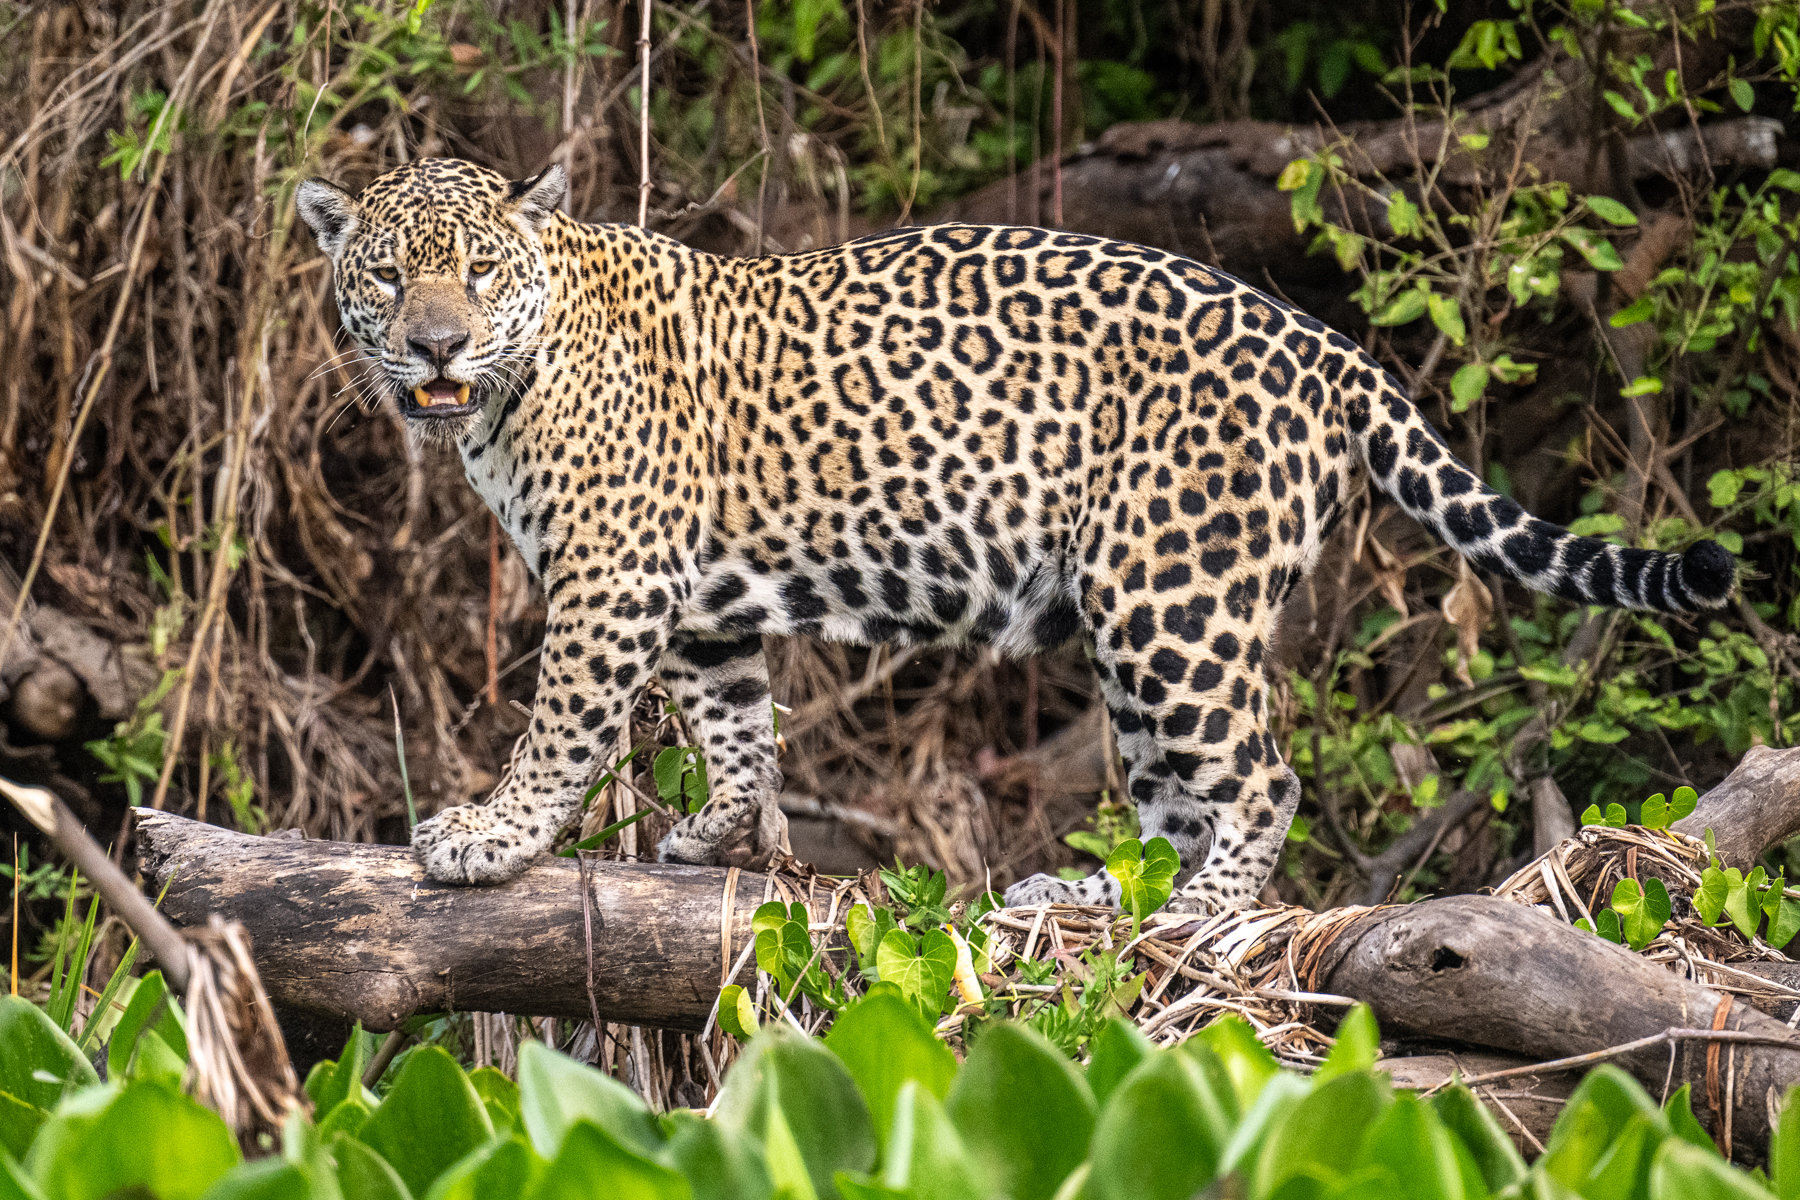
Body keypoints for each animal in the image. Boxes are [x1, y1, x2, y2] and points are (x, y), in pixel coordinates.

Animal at [297, 157, 1736, 911]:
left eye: (480, 272)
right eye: (389, 274)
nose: (436, 344)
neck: (516, 380)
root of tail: (1331, 352)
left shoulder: (612, 577)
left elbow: (564, 726)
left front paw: (491, 836)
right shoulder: (702, 603)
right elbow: (740, 728)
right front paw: (719, 836)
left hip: (1173, 597)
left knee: (1259, 780)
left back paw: (1203, 922)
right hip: (1143, 621)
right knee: (1174, 801)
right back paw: (1088, 900)